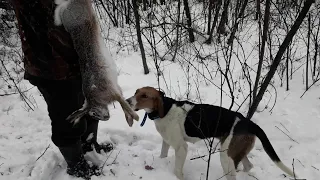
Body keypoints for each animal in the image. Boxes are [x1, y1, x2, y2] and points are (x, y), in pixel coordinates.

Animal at [126, 86, 296, 179]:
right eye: (136, 91)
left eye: (144, 96)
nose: (127, 101)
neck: (165, 109)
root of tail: (248, 122)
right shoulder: (166, 142)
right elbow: (163, 155)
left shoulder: (181, 148)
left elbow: (177, 170)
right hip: (235, 151)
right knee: (248, 166)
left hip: (226, 157)